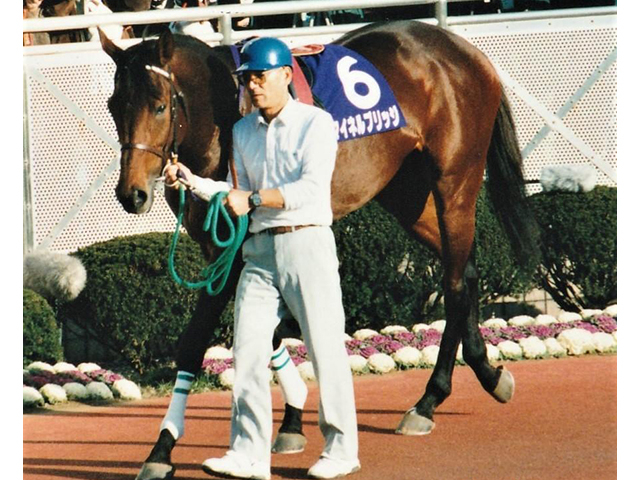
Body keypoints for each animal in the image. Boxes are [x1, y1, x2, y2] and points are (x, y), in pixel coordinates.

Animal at [100, 20, 539, 479]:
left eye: (158, 106)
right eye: (114, 106)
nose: (131, 194)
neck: (222, 111)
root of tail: (463, 50)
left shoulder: (232, 249)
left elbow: (197, 340)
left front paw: (162, 448)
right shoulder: (216, 247)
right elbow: (268, 331)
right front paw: (292, 418)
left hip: (455, 180)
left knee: (454, 284)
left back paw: (429, 401)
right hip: (406, 194)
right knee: (466, 269)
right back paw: (486, 373)